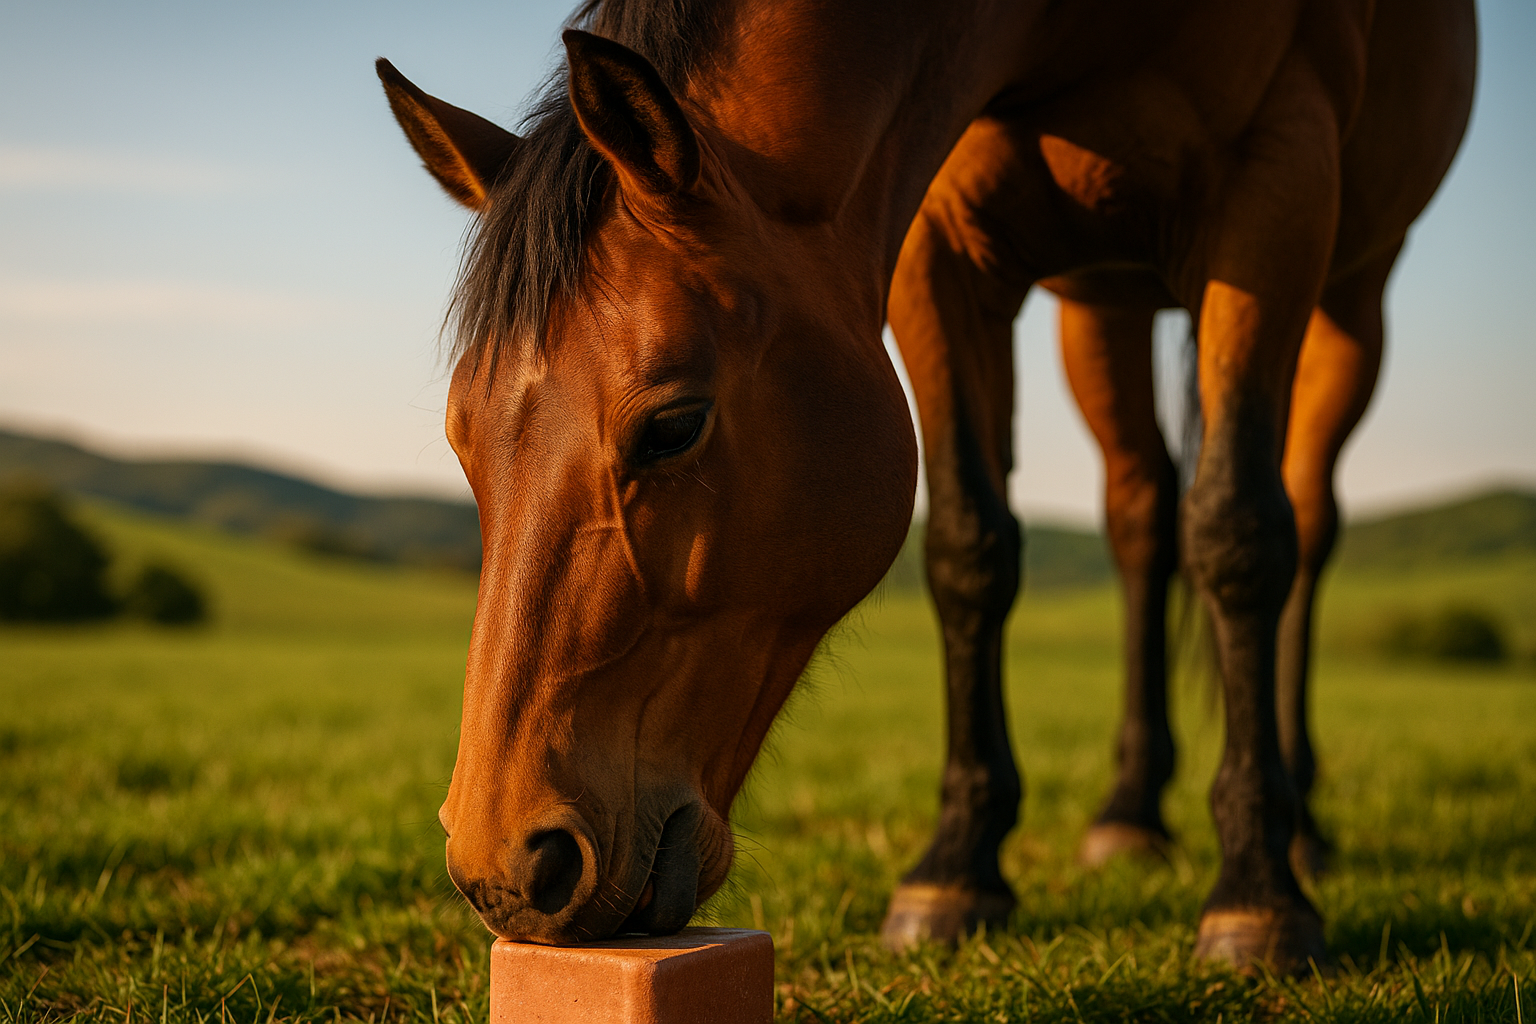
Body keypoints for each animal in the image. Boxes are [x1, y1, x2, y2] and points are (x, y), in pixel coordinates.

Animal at [377, 0, 1474, 971]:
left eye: (675, 425)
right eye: (463, 441)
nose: (508, 868)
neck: (1076, 24)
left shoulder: (1275, 191)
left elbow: (1240, 537)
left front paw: (1257, 895)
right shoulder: (938, 245)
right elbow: (968, 548)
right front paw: (956, 870)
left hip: (1350, 294)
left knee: (1300, 523)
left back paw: (1302, 825)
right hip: (1106, 302)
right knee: (1140, 514)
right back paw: (1128, 812)